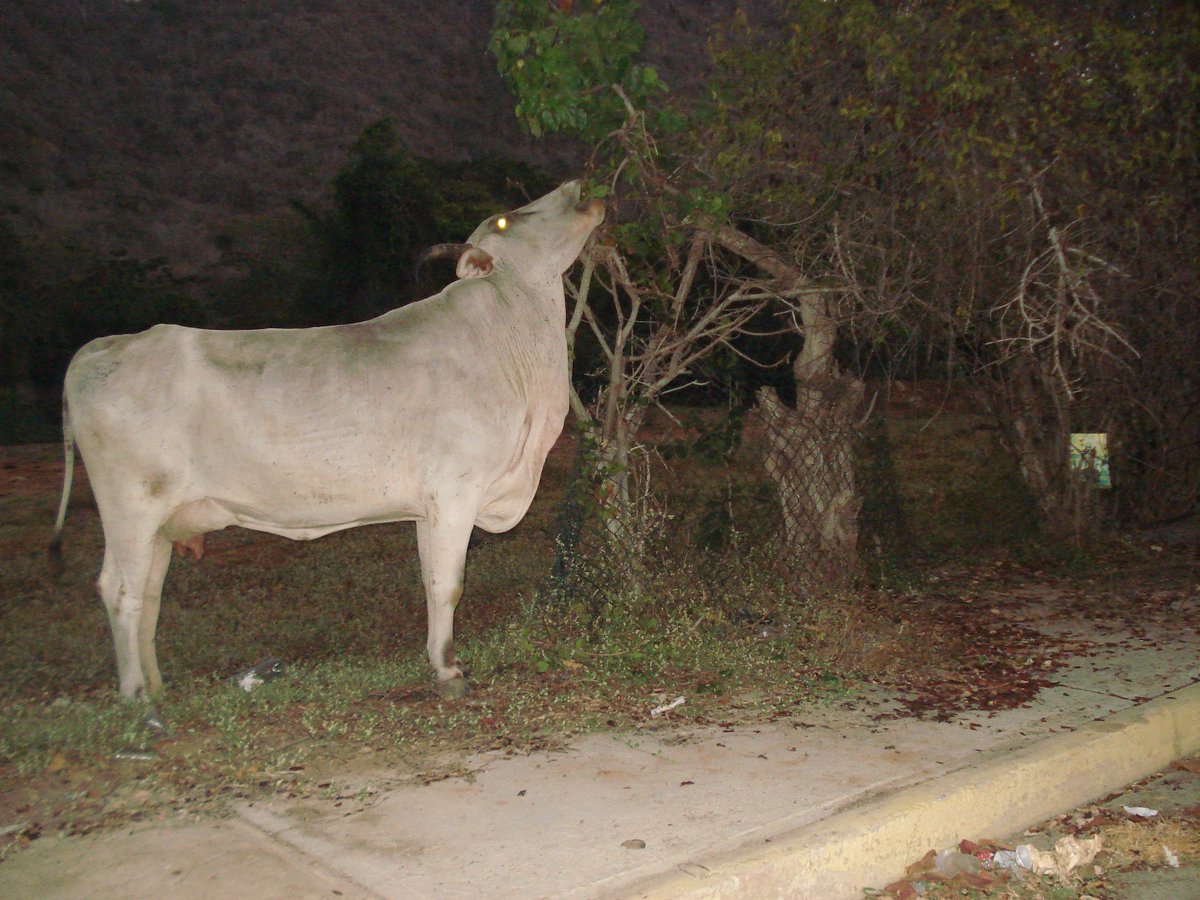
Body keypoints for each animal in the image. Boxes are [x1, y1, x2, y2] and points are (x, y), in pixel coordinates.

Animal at [51, 181, 605, 701]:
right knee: (121, 590)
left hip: (161, 525)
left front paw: (439, 661)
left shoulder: (429, 506)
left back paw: (155, 686)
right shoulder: (455, 492)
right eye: (507, 221)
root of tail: (107, 346)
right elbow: (449, 584)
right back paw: (137, 697)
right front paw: (449, 674)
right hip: (131, 506)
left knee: (148, 593)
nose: (578, 188)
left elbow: (431, 582)